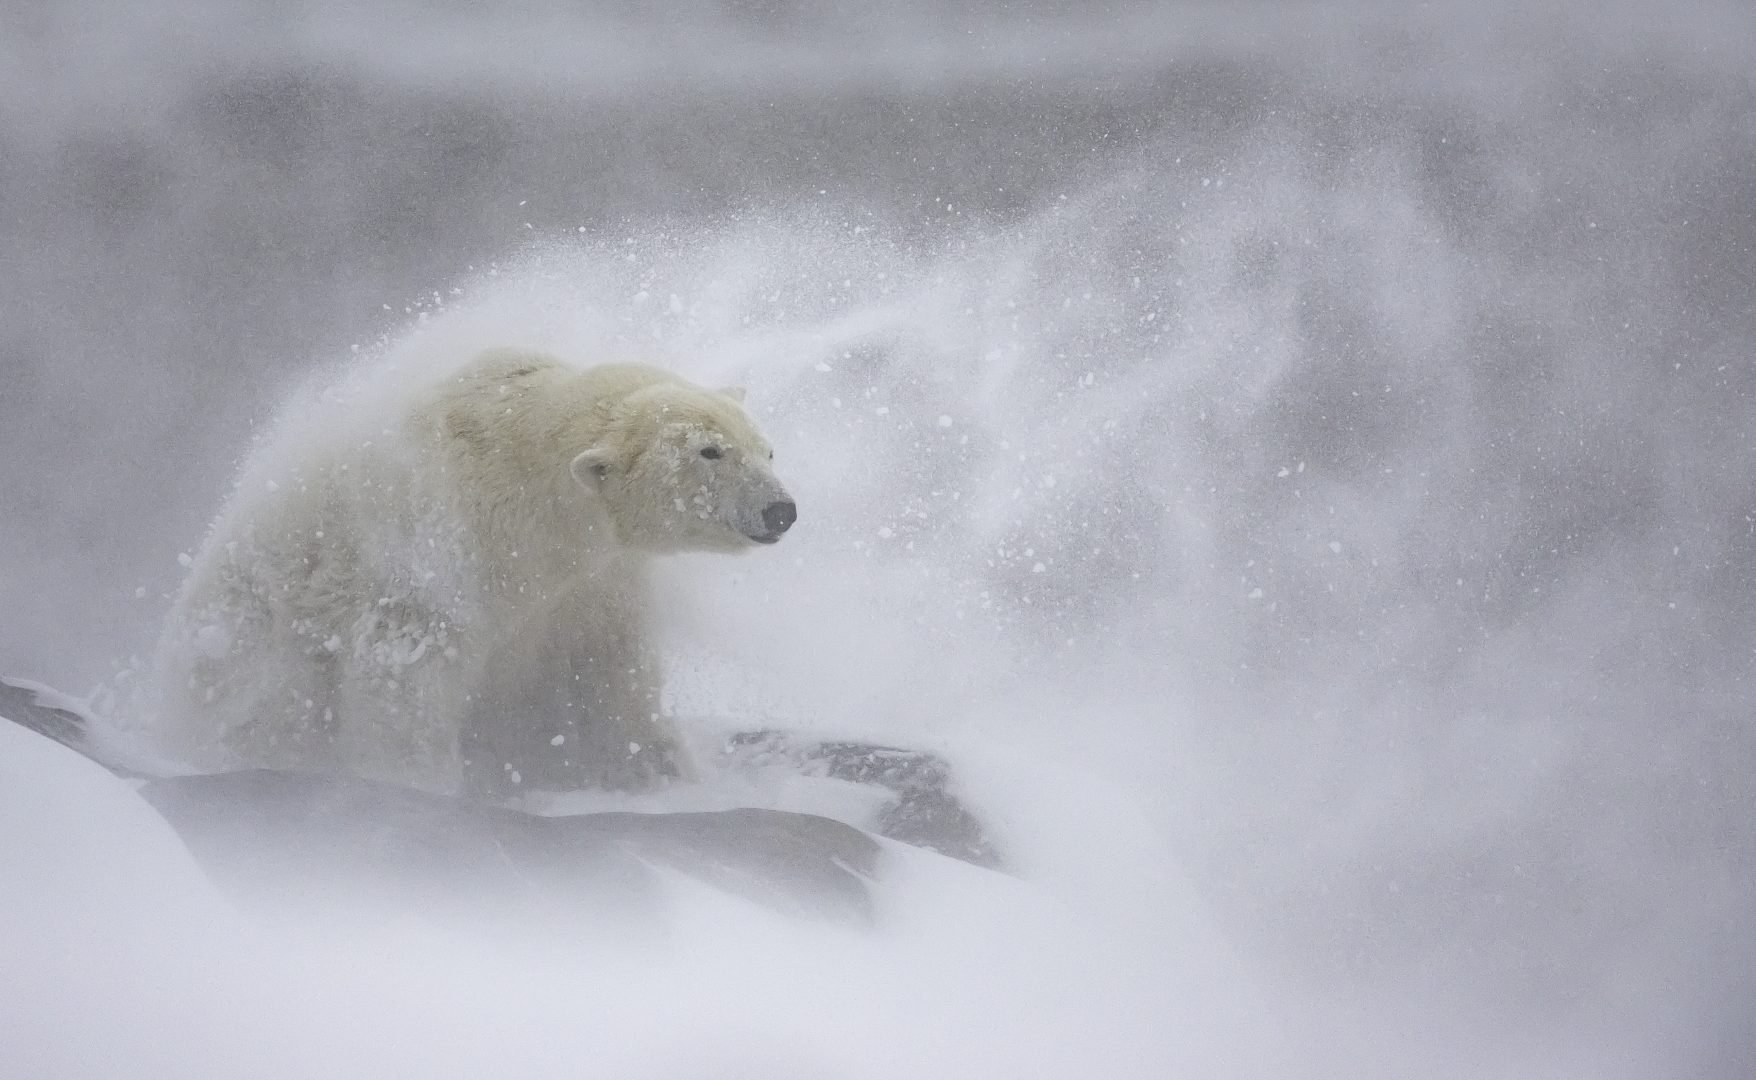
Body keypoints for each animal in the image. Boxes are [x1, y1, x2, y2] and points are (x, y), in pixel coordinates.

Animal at [151, 351, 797, 797]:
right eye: (710, 452)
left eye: (765, 449)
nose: (780, 510)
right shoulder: (442, 549)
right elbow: (405, 667)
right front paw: (416, 782)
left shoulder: (595, 581)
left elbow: (610, 670)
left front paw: (657, 769)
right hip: (253, 631)